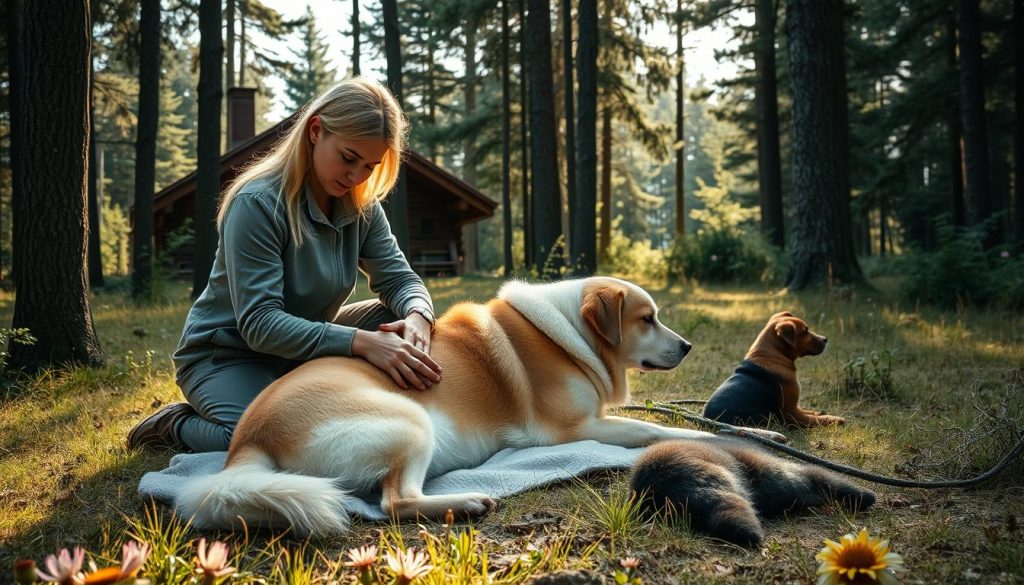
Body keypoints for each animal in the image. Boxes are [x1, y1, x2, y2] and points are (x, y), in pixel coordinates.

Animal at [178, 278, 782, 536]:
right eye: (647, 318)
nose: (689, 346)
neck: (570, 333)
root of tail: (248, 439)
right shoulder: (578, 428)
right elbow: (664, 432)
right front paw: (737, 439)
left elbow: (668, 421)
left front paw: (767, 436)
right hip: (411, 421)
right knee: (394, 502)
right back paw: (466, 501)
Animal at [700, 311, 843, 430]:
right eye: (805, 331)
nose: (825, 339)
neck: (771, 354)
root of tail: (706, 420)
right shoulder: (791, 412)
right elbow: (815, 420)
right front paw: (834, 419)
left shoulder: (795, 408)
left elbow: (808, 412)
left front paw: (817, 412)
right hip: (763, 418)